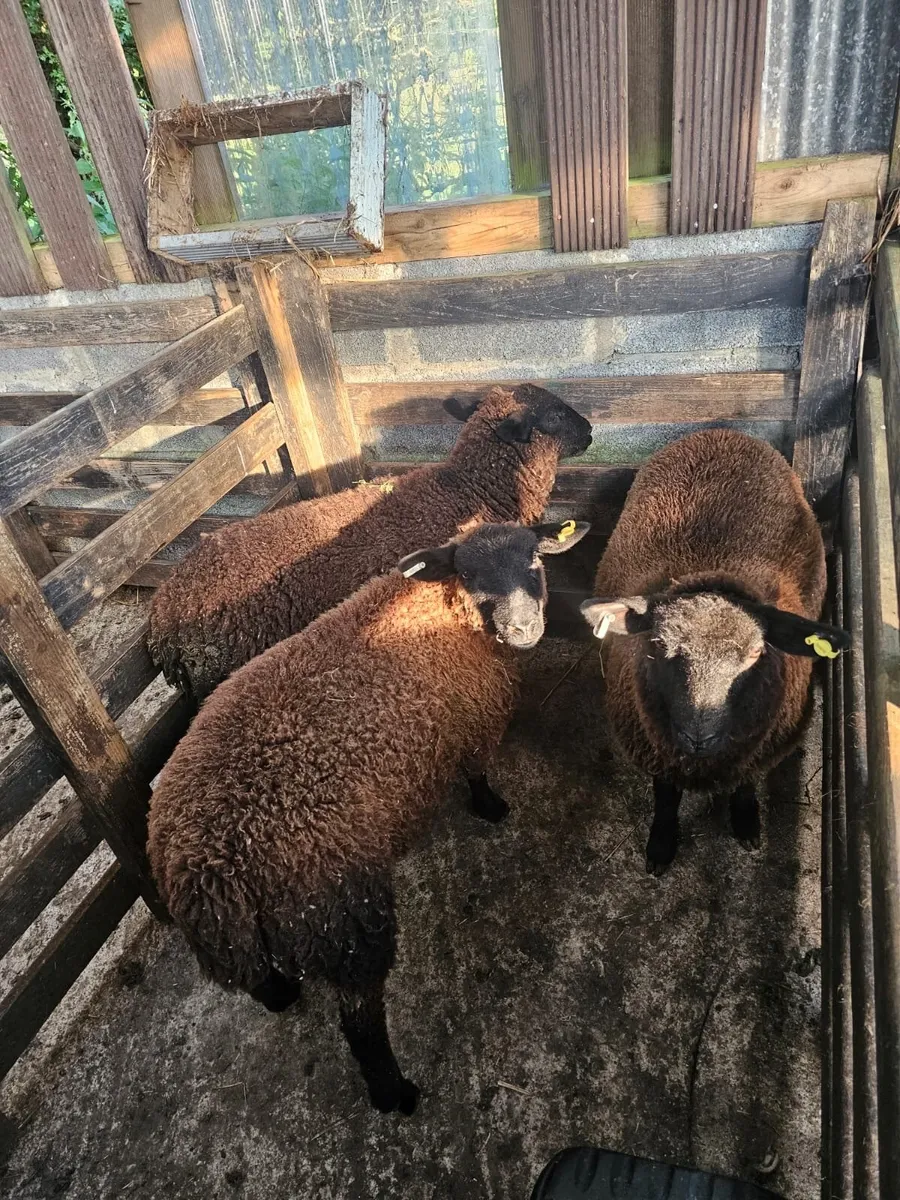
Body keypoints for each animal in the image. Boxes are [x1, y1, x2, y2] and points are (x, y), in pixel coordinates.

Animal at [148, 518, 590, 1115]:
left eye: (535, 561)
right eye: (470, 574)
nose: (523, 628)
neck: (442, 608)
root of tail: (209, 869)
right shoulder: (473, 716)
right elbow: (476, 771)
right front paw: (491, 809)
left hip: (250, 939)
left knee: (263, 983)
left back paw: (284, 998)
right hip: (343, 918)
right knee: (361, 1023)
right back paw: (394, 1094)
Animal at [580, 429, 849, 875]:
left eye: (757, 653)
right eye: (657, 645)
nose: (697, 736)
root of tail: (722, 431)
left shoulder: (757, 751)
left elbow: (745, 785)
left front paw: (747, 823)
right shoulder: (658, 750)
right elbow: (665, 798)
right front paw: (661, 845)